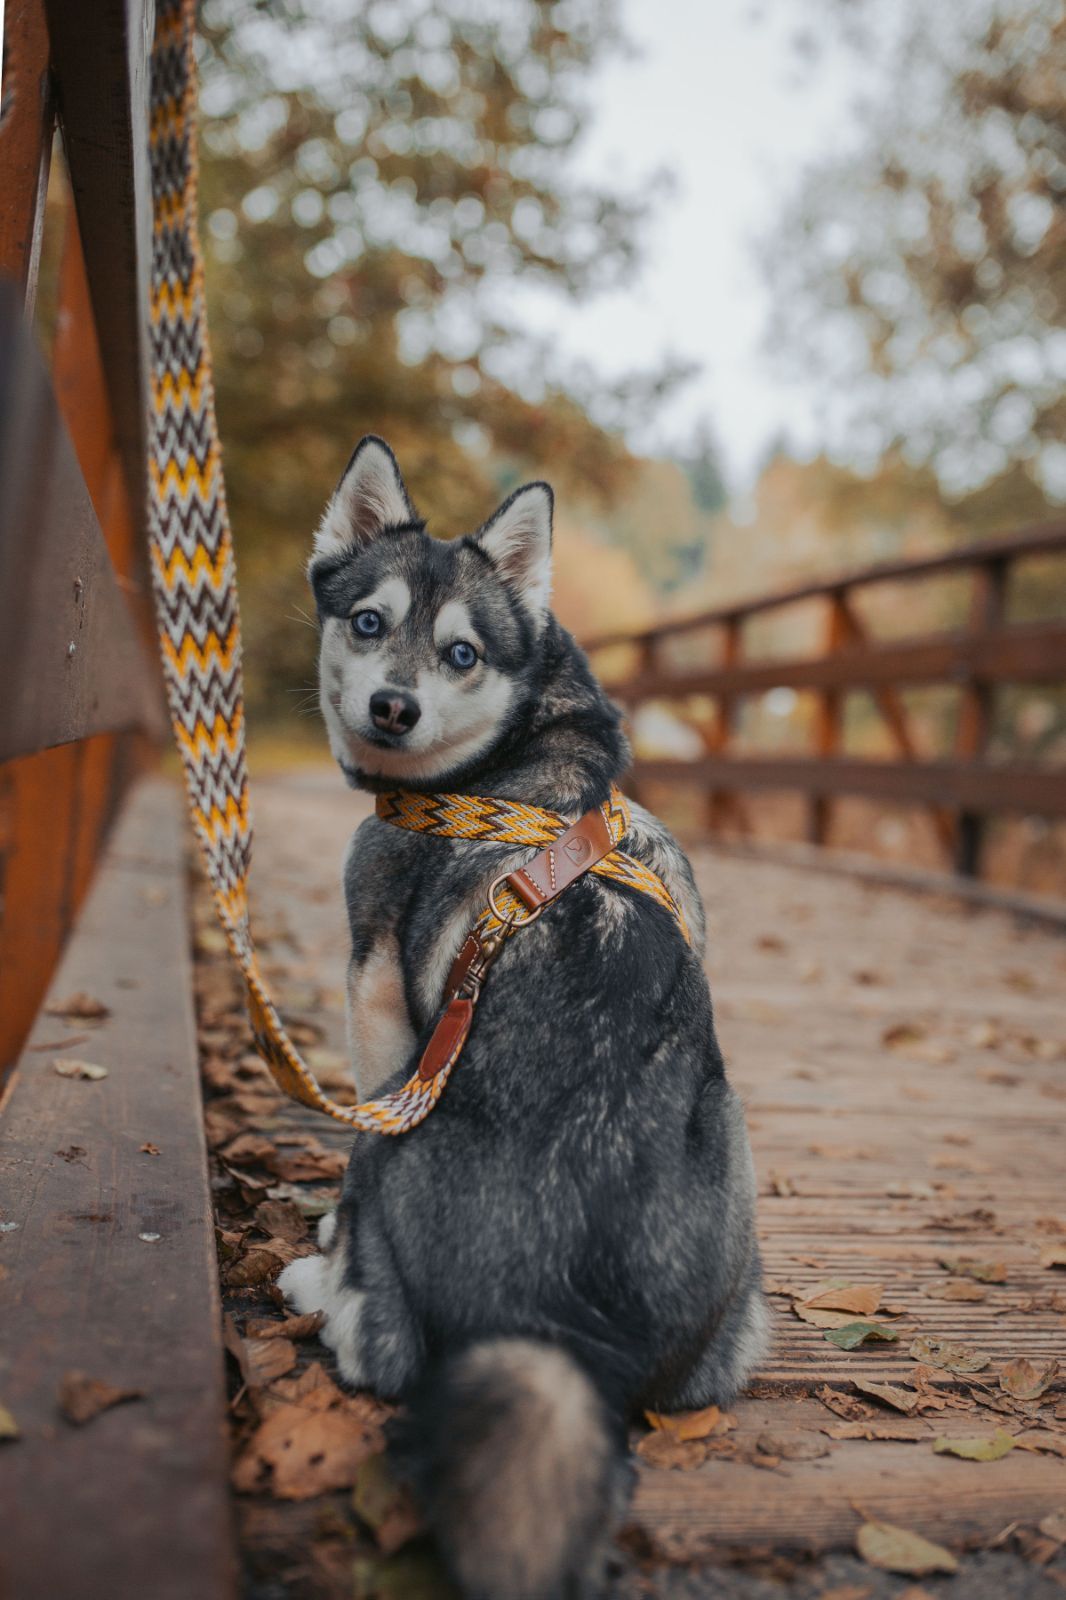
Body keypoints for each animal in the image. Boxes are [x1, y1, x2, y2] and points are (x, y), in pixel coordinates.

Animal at [278, 438, 768, 1600]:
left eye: (461, 652)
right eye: (369, 622)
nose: (394, 707)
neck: (521, 760)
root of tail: (556, 1331)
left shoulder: (377, 1005)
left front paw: (323, 1241)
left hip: (402, 1144)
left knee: (379, 1343)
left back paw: (316, 1282)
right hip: (735, 1160)